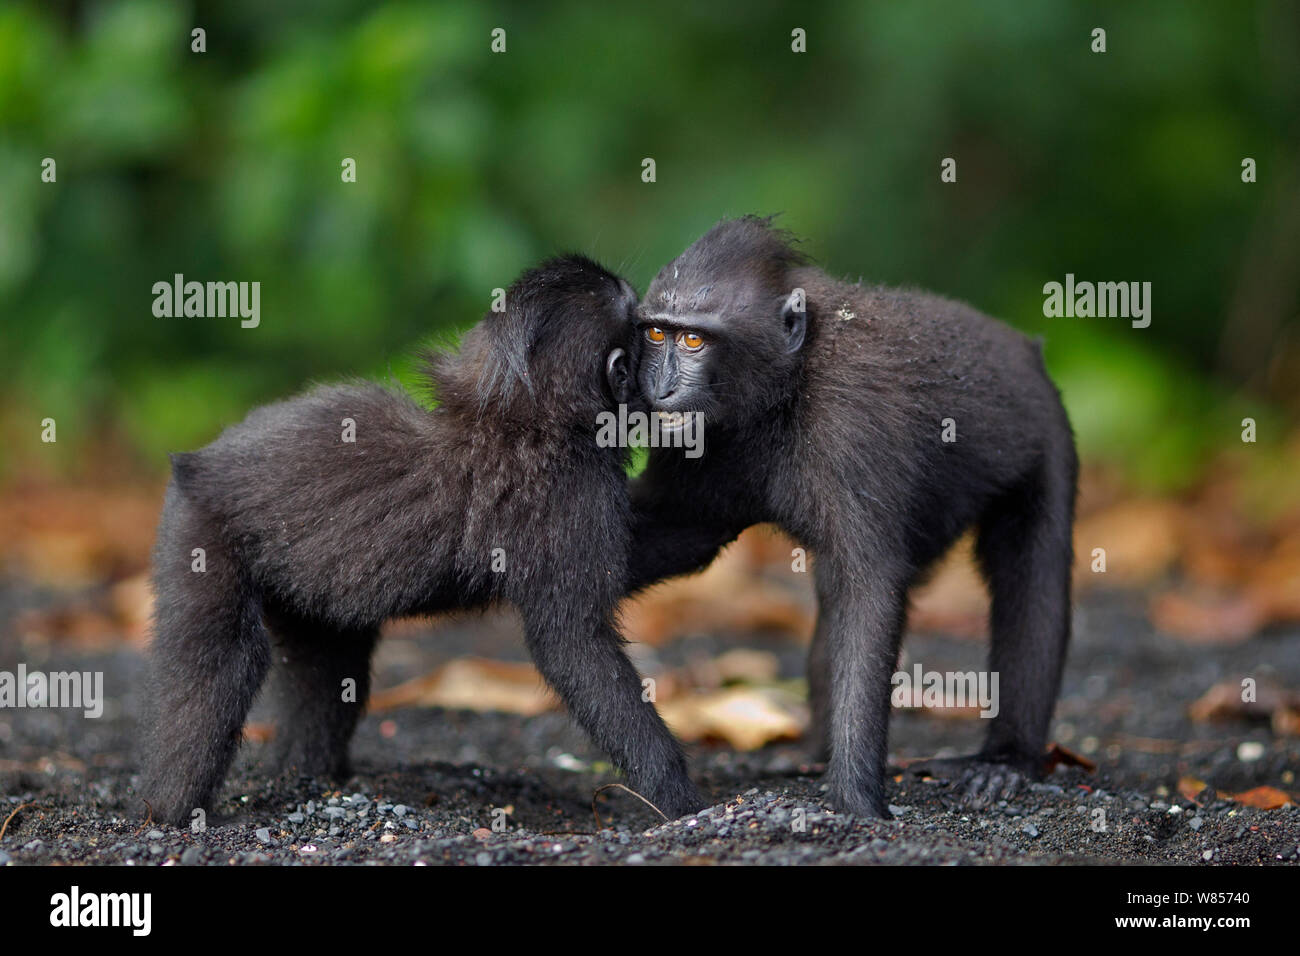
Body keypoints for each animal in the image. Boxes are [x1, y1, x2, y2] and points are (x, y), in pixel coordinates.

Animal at [139, 255, 706, 826]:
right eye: (645, 338)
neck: (522, 417)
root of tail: (196, 465)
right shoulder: (573, 492)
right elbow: (575, 645)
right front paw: (677, 798)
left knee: (329, 670)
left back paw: (306, 777)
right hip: (200, 532)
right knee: (221, 662)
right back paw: (169, 808)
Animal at [625, 216, 1077, 818]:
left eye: (694, 339)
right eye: (656, 334)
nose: (660, 389)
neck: (786, 384)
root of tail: (1026, 348)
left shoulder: (849, 418)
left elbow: (868, 587)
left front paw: (858, 801)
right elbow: (679, 535)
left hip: (1047, 434)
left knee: (1030, 579)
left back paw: (1006, 761)